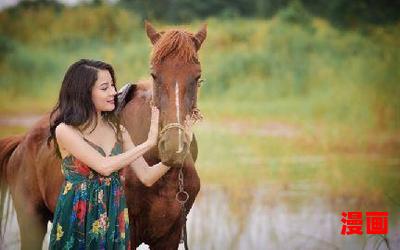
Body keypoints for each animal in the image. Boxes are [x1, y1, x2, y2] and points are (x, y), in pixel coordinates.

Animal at [0, 21, 206, 248]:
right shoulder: (129, 234)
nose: (174, 148)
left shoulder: (169, 237)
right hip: (31, 222)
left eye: (197, 77)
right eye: (154, 75)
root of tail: (23, 141)